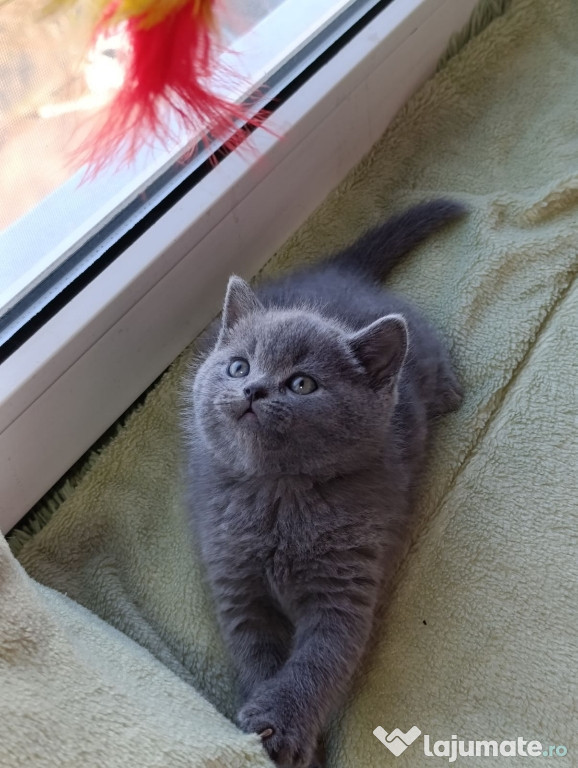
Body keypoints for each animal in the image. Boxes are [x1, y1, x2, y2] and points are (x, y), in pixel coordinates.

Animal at [183, 202, 464, 768]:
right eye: (239, 366)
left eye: (302, 383)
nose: (253, 389)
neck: (278, 496)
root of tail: (337, 270)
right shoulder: (234, 579)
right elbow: (256, 652)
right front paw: (268, 731)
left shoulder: (347, 584)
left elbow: (321, 659)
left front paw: (282, 726)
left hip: (419, 346)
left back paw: (449, 390)